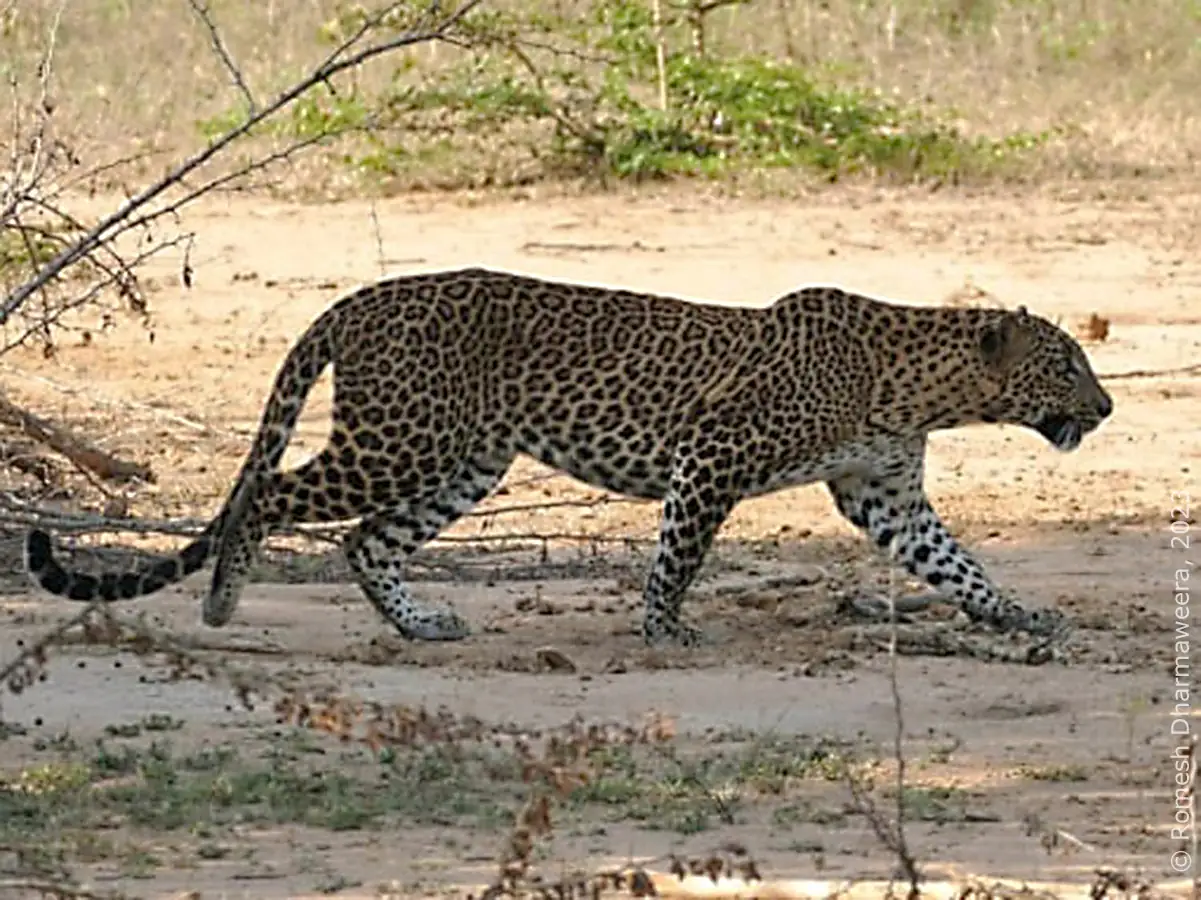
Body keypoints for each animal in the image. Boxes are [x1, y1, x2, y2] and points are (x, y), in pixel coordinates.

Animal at [22, 266, 1114, 647]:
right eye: (1066, 362)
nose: (1104, 408)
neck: (922, 381)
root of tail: (359, 298)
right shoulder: (713, 454)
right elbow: (679, 554)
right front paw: (662, 628)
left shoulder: (882, 494)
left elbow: (956, 564)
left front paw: (1016, 614)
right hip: (399, 439)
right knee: (269, 496)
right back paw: (221, 603)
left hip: (464, 459)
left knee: (366, 541)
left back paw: (421, 625)